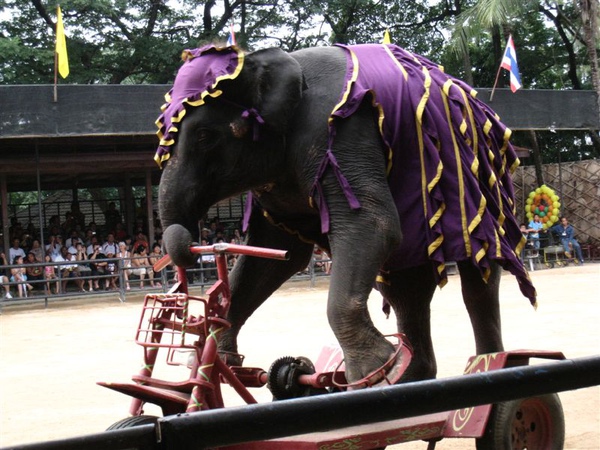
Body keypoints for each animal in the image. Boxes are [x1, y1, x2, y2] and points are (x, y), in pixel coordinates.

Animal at [157, 43, 536, 386]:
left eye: (204, 135)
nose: (186, 245)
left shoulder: (341, 131)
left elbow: (372, 223)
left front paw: (374, 370)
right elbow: (278, 253)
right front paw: (221, 362)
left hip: (481, 187)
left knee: (479, 279)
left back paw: (484, 368)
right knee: (405, 290)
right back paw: (410, 375)